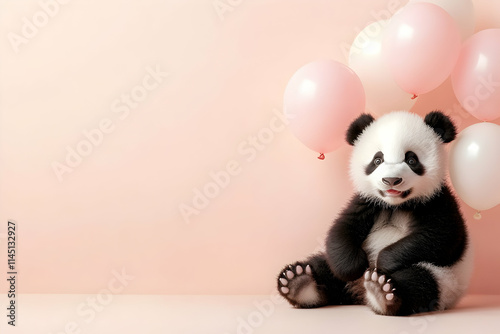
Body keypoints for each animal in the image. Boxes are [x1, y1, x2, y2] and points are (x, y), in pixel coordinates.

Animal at [278, 110, 472, 316]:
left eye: (411, 160)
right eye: (377, 160)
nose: (391, 180)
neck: (395, 205)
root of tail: (360, 294)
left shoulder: (437, 201)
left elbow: (438, 236)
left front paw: (385, 262)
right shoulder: (367, 202)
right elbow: (341, 229)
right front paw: (353, 265)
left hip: (445, 279)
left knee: (420, 281)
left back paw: (381, 290)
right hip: (331, 265)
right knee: (323, 267)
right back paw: (298, 280)